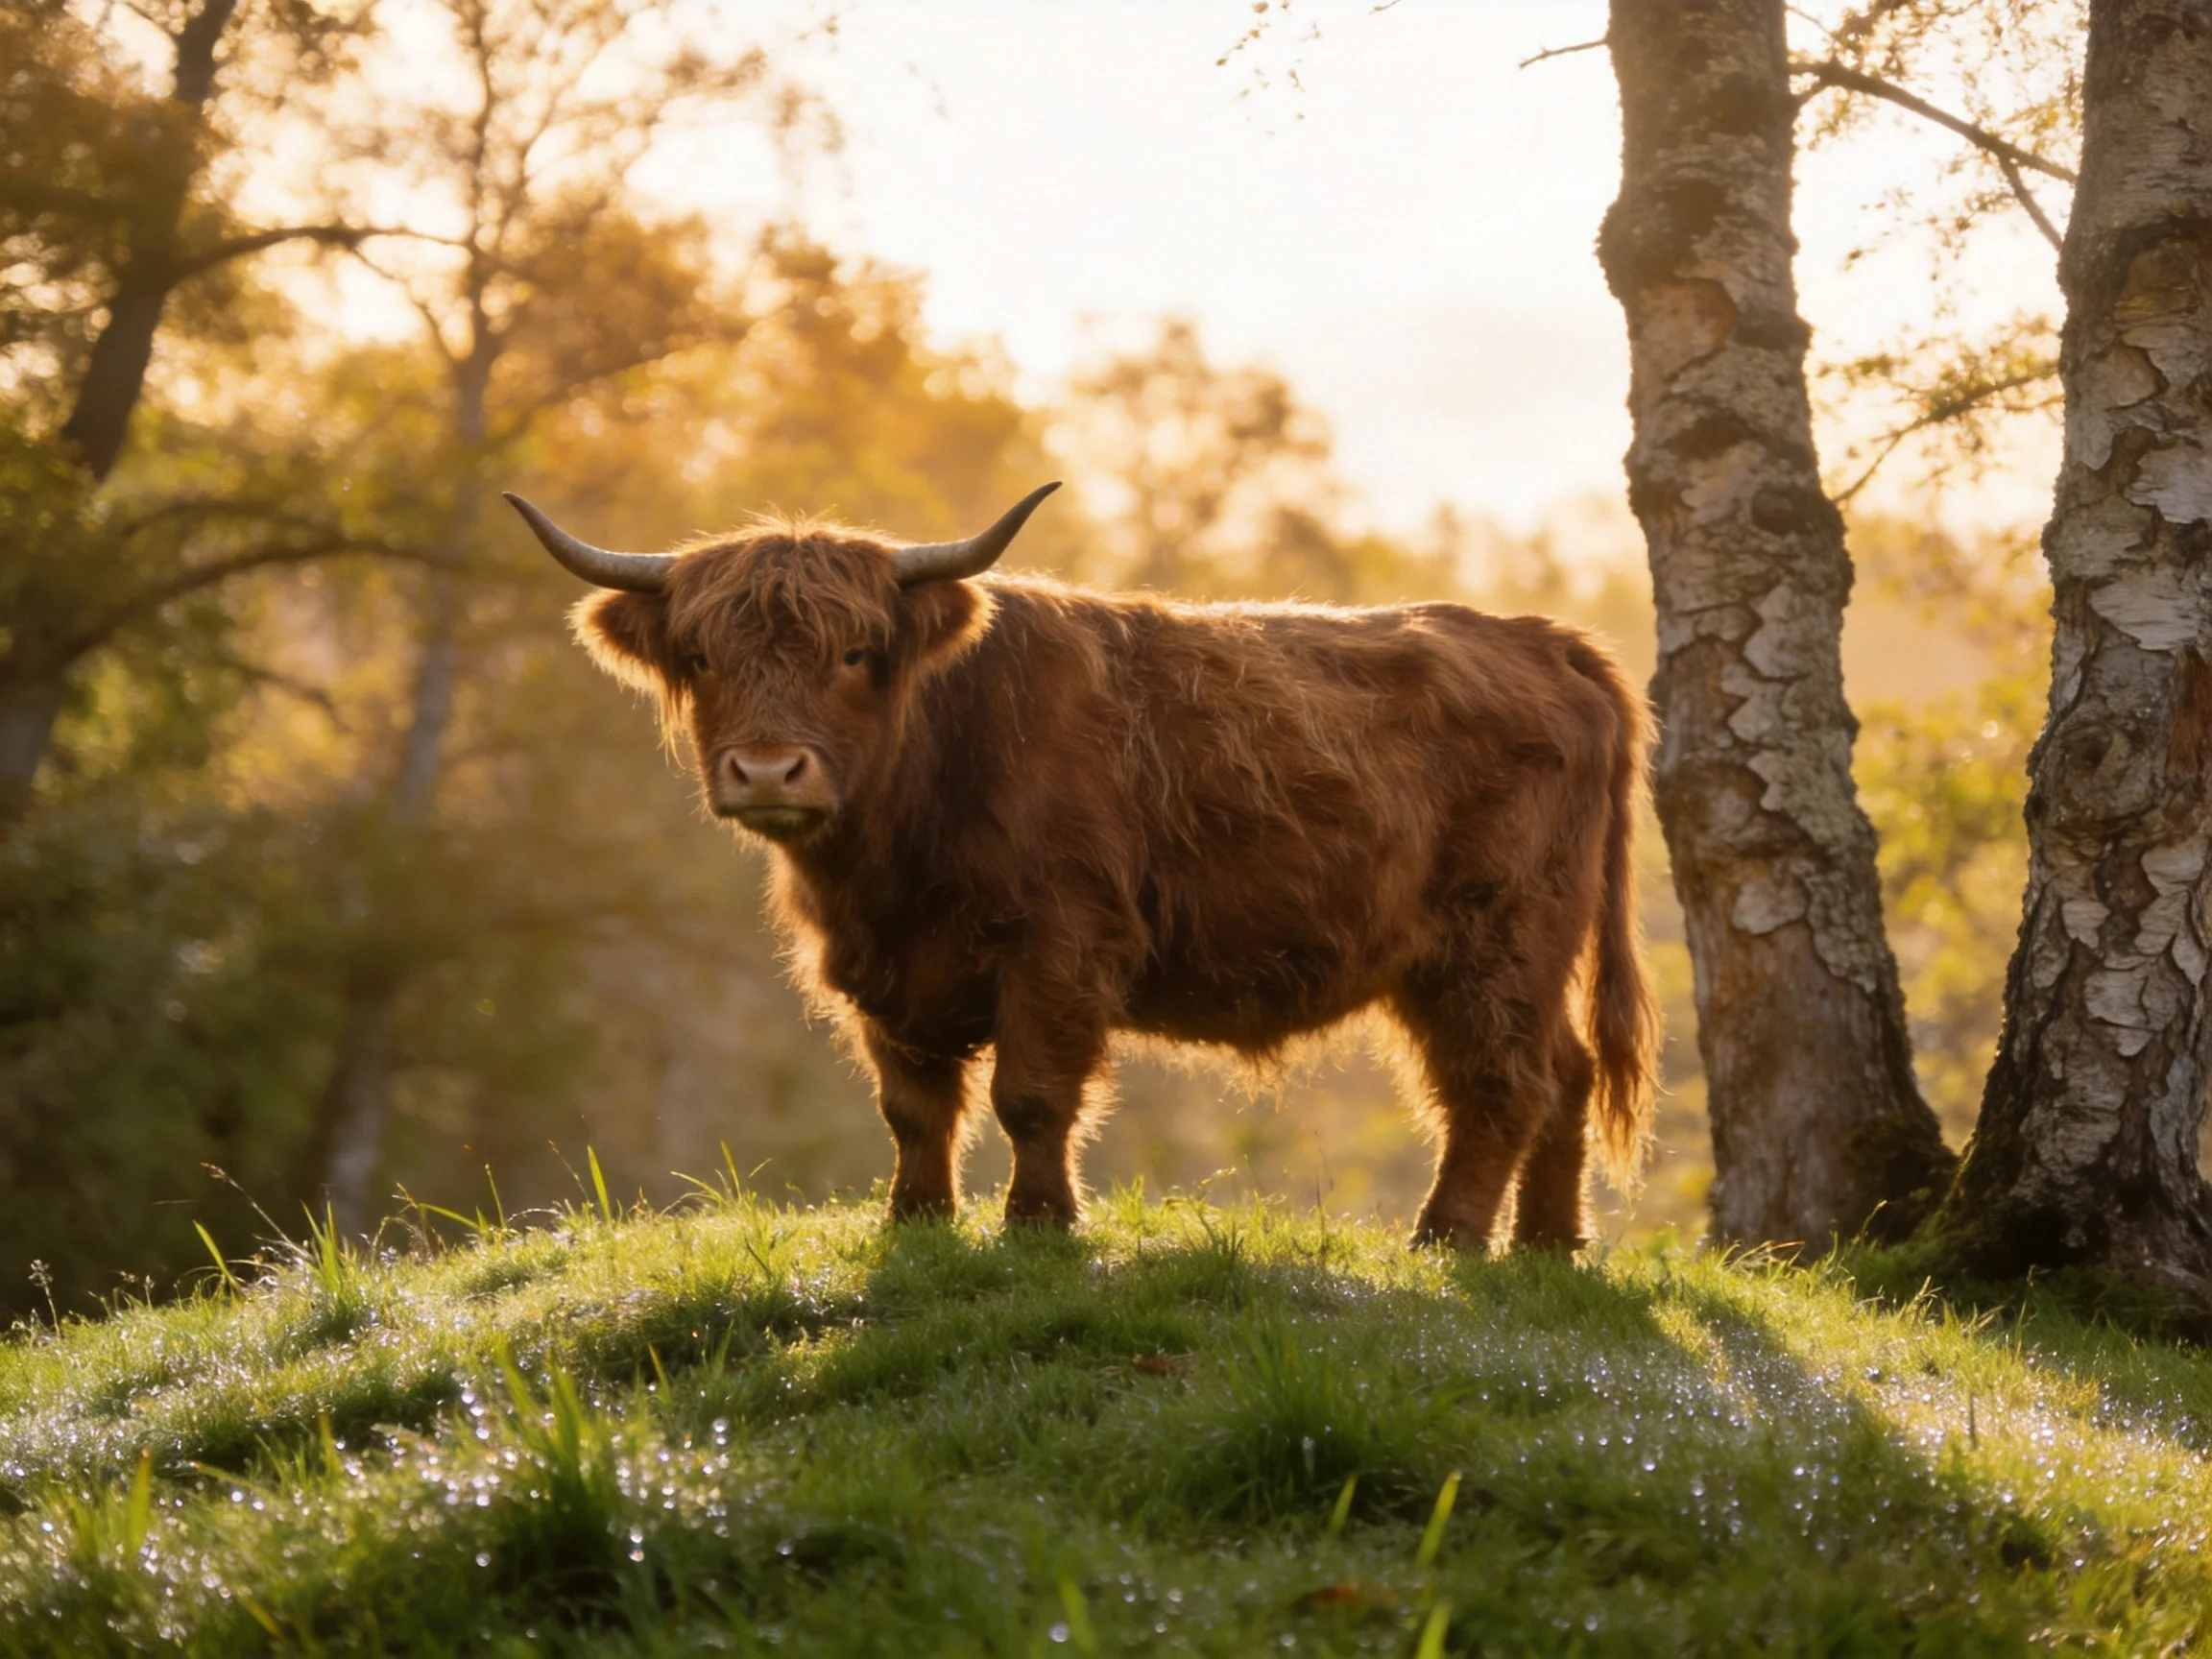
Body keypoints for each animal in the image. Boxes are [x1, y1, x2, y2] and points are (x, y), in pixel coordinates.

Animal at [507, 484, 1657, 1249]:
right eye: (701, 658)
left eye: (855, 653)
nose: (765, 769)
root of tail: (1544, 639)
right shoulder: (884, 970)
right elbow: (914, 1107)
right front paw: (916, 1225)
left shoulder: (1059, 945)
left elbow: (1030, 1095)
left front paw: (1039, 1226)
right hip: (1495, 955)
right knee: (1562, 1074)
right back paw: (1548, 1247)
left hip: (1493, 936)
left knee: (1502, 1080)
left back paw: (1448, 1237)